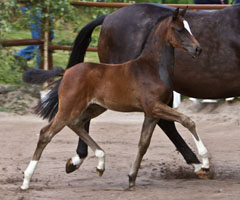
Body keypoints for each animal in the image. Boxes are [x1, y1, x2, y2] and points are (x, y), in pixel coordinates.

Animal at [21, 8, 208, 190]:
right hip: (69, 107)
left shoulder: (151, 113)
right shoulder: (155, 106)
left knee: (76, 124)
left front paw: (131, 178)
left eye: (189, 28)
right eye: (179, 29)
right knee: (46, 133)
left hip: (95, 107)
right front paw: (205, 163)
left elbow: (143, 144)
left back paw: (100, 163)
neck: (152, 68)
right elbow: (188, 121)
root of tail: (66, 72)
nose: (198, 49)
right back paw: (26, 181)